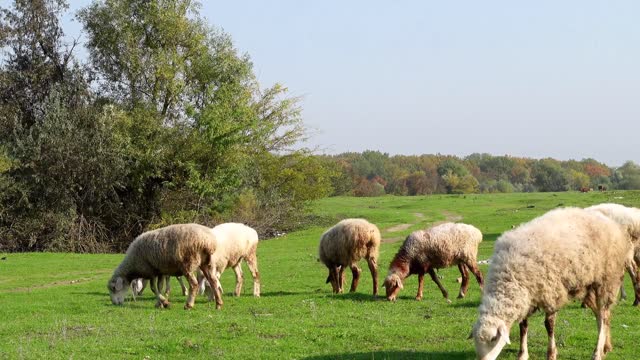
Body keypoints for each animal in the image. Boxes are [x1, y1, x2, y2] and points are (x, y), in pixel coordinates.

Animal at [470, 208, 632, 360]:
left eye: (493, 339)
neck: (509, 278)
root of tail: (608, 221)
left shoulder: (551, 293)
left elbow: (549, 325)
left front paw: (551, 353)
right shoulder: (527, 296)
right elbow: (523, 326)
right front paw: (522, 354)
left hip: (607, 280)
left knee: (603, 317)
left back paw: (597, 352)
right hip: (589, 287)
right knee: (602, 315)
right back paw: (606, 347)